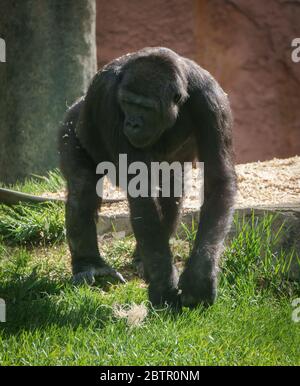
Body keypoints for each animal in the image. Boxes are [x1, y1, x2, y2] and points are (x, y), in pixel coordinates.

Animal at [58, 46, 237, 310]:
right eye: (127, 103)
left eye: (146, 107)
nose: (132, 123)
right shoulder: (107, 97)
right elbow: (139, 188)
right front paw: (163, 285)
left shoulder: (211, 100)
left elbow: (218, 179)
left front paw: (200, 275)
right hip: (70, 126)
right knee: (83, 187)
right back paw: (90, 265)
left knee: (171, 192)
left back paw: (142, 259)